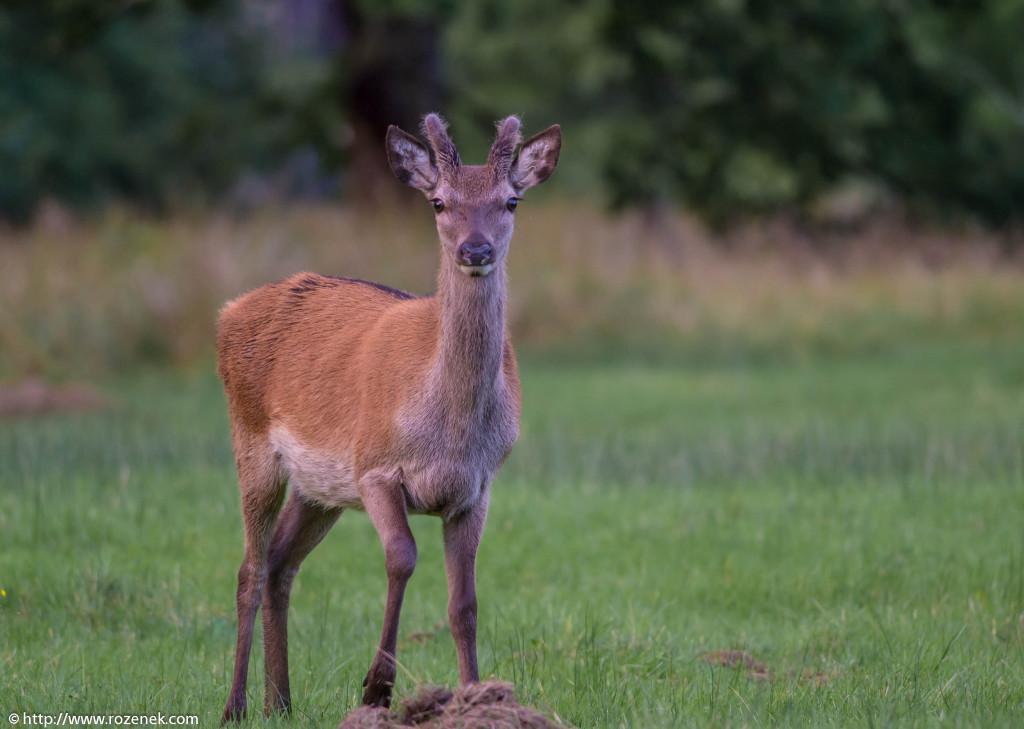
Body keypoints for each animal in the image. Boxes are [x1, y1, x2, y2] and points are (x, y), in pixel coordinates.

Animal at [217, 113, 565, 724]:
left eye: (511, 201)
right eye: (439, 202)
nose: (476, 249)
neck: (449, 431)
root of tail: (226, 315)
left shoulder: (477, 488)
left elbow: (464, 601)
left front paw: (476, 697)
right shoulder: (375, 467)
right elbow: (401, 557)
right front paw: (377, 688)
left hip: (318, 487)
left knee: (281, 564)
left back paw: (280, 701)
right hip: (253, 442)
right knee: (249, 569)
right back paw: (236, 706)